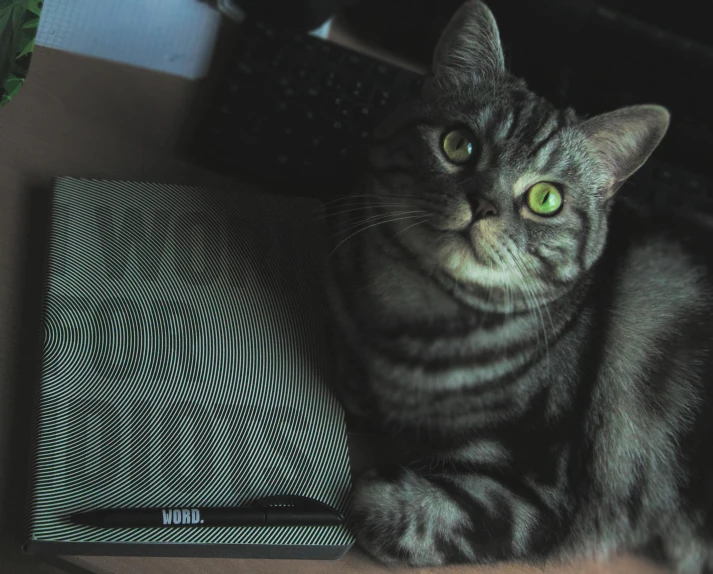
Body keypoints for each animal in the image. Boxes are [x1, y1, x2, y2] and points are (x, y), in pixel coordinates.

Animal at [324, 2, 713, 572]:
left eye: (545, 199)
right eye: (458, 144)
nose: (483, 203)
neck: (419, 312)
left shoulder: (541, 498)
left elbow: (391, 511)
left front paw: (373, 486)